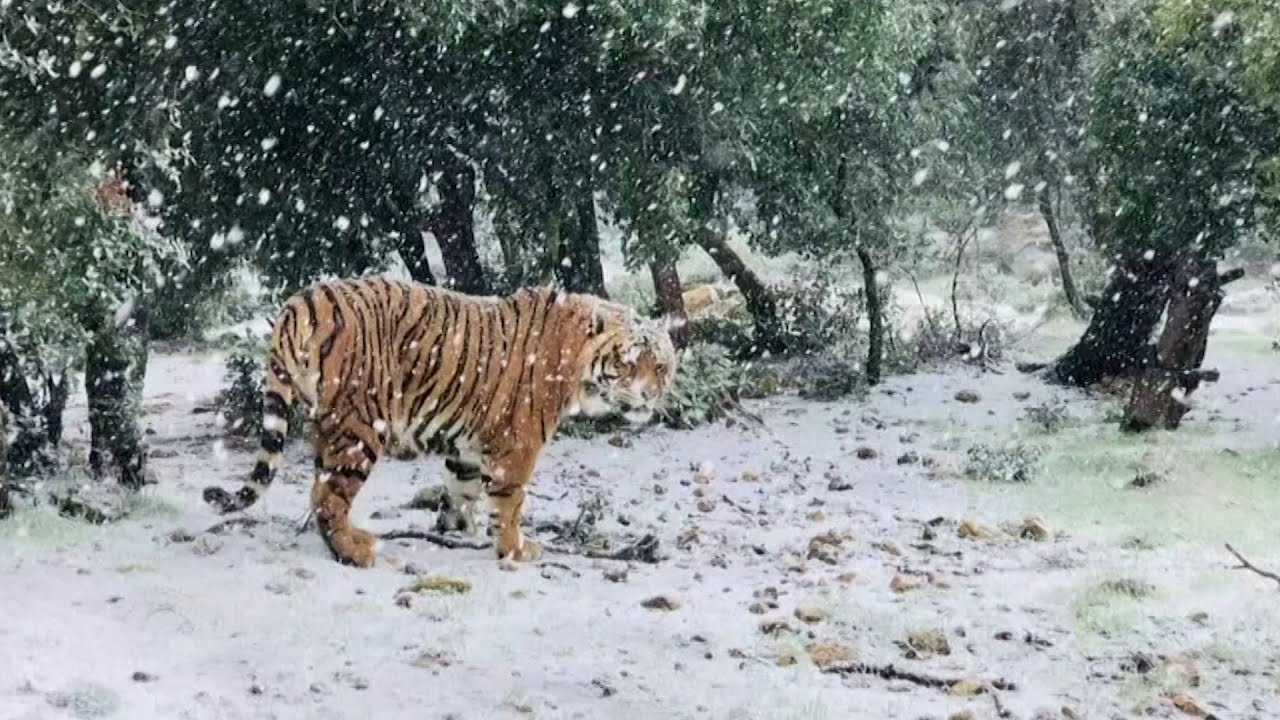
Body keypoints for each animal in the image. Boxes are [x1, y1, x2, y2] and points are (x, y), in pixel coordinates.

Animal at [202, 276, 679, 568]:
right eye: (630, 363)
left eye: (661, 366)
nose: (649, 396)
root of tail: (305, 300)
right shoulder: (518, 444)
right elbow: (510, 503)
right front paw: (515, 549)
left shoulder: (467, 446)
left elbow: (462, 491)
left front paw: (456, 531)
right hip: (362, 426)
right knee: (328, 495)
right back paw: (357, 553)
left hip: (324, 422)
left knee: (319, 488)